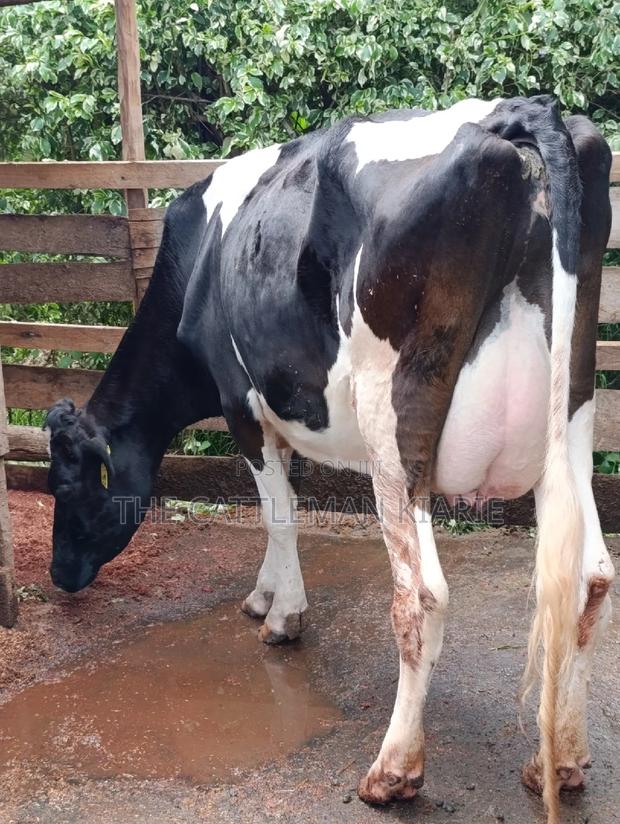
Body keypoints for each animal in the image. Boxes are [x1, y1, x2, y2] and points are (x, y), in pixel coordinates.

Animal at [44, 95, 613, 823]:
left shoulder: (241, 402)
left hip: (394, 420)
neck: (195, 265)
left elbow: (278, 513)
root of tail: (517, 113)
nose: (59, 575)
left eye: (65, 486)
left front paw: (283, 617)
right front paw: (263, 594)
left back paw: (393, 771)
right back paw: (560, 760)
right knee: (590, 575)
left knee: (421, 594)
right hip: (571, 414)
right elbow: (280, 503)